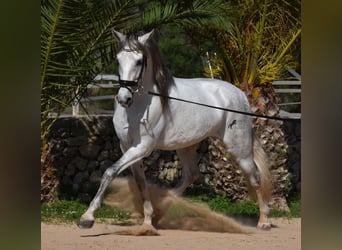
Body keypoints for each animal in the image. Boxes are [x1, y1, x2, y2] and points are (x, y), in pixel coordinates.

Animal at [77, 29, 272, 230]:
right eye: (118, 59)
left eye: (139, 61)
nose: (124, 98)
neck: (140, 105)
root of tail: (240, 94)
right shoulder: (127, 147)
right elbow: (140, 182)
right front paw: (148, 218)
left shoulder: (143, 147)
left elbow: (110, 171)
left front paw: (87, 217)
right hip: (186, 146)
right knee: (191, 174)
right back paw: (160, 211)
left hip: (238, 148)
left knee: (255, 176)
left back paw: (264, 221)